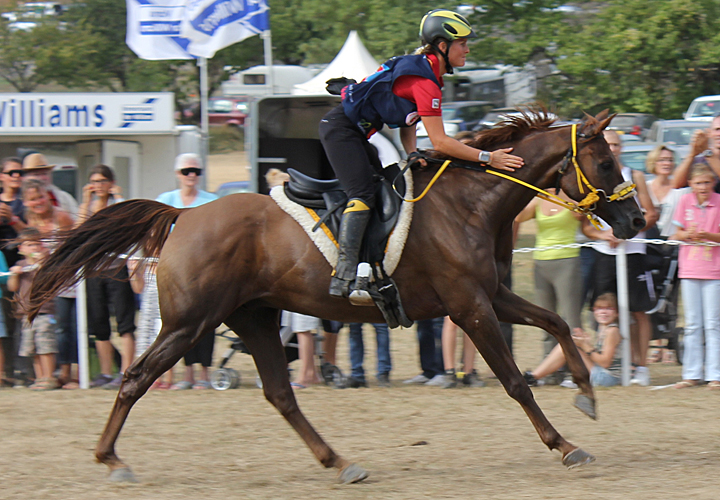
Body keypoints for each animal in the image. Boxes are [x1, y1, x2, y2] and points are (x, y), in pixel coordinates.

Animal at [28, 109, 645, 484]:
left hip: (253, 317)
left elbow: (558, 323)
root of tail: (184, 214)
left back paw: (339, 461)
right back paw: (111, 459)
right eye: (606, 161)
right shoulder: (469, 307)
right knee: (136, 377)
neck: (473, 201)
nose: (638, 220)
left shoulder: (489, 296)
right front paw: (564, 444)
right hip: (189, 323)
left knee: (280, 394)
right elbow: (515, 381)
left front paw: (586, 393)